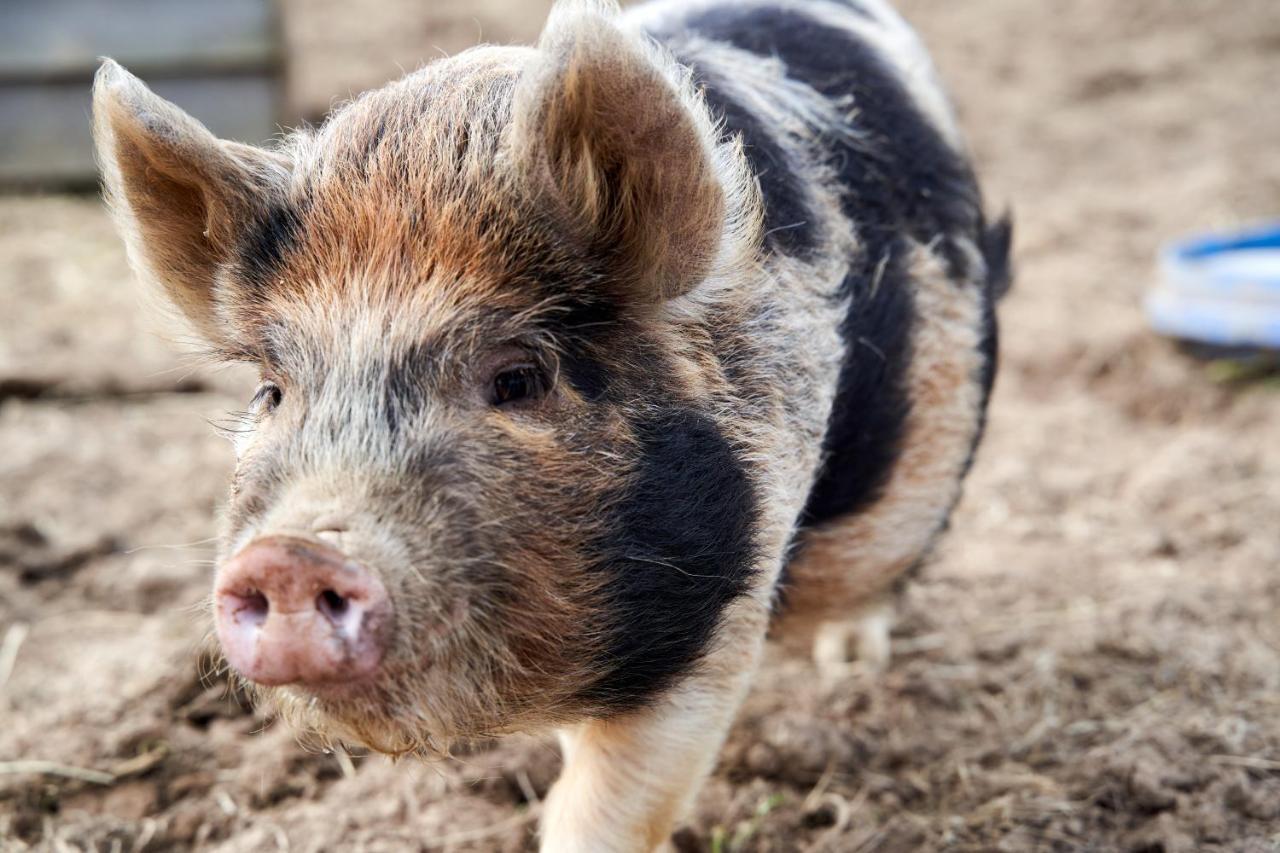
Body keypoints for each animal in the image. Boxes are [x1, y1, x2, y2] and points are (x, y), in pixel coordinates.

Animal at [90, 0, 1008, 845]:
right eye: (274, 390)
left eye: (518, 378)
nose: (291, 555)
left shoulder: (723, 592)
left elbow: (612, 797)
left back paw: (850, 672)